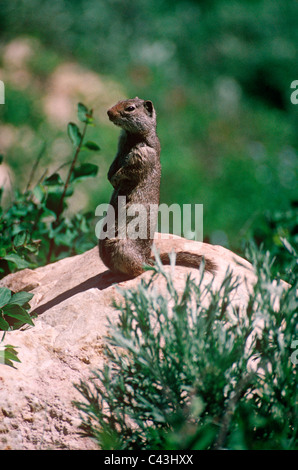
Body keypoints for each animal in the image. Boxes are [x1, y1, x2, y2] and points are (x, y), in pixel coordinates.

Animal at [99, 97, 215, 278]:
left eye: (130, 108)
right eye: (120, 100)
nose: (108, 112)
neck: (131, 136)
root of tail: (147, 259)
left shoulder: (142, 155)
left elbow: (129, 169)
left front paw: (116, 179)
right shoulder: (119, 148)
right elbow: (114, 163)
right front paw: (110, 176)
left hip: (122, 248)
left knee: (139, 271)